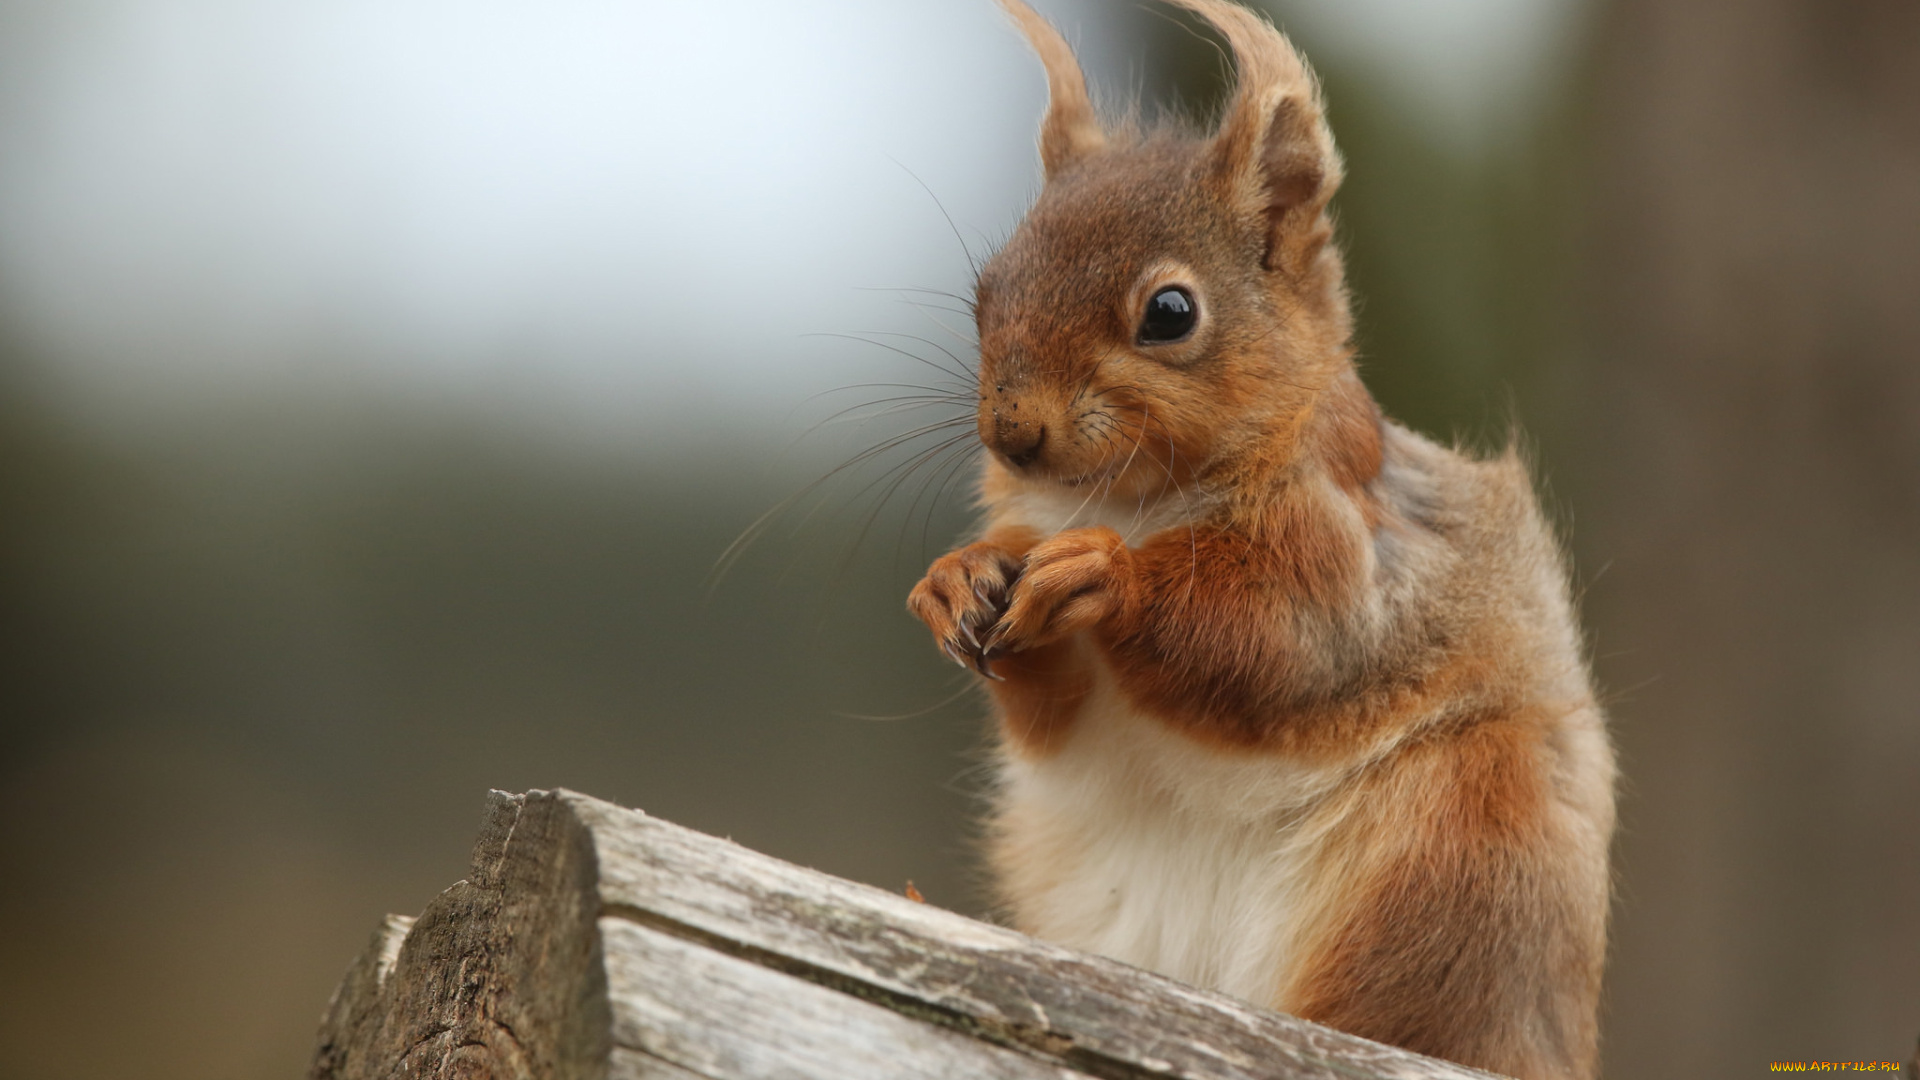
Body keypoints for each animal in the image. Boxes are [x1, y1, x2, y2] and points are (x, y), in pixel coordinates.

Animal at [906, 2, 1612, 1076]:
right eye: (986, 293)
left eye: (1171, 312)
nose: (1012, 433)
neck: (1134, 502)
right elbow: (1052, 711)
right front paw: (955, 579)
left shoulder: (1340, 547)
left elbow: (1278, 643)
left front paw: (1106, 577)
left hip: (1456, 854)